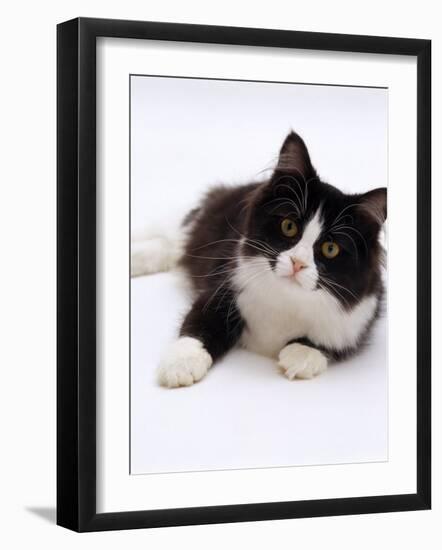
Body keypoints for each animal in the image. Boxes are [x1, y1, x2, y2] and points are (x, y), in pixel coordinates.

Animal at [132, 132, 386, 390]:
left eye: (330, 248)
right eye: (288, 226)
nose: (297, 262)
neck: (288, 298)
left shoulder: (357, 320)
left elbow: (330, 343)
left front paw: (301, 355)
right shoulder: (224, 287)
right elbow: (200, 323)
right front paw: (181, 363)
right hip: (192, 228)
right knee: (168, 241)